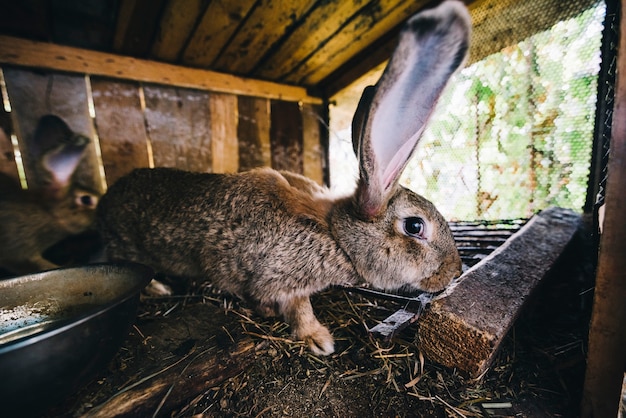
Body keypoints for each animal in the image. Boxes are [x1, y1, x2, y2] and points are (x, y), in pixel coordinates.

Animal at [96, 0, 468, 356]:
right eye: (415, 226)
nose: (454, 271)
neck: (335, 235)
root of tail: (105, 200)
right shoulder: (276, 277)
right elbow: (296, 307)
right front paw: (318, 339)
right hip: (124, 244)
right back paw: (157, 288)